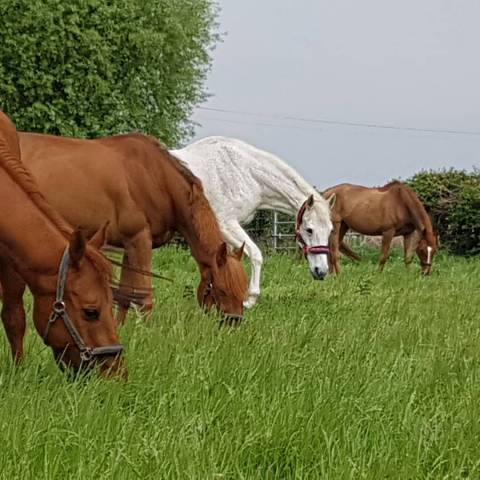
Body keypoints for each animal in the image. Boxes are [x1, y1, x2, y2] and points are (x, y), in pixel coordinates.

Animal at [18, 133, 248, 324]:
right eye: (222, 290)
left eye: (243, 291)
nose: (233, 324)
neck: (155, 178)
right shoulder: (140, 240)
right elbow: (145, 296)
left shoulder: (130, 244)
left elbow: (126, 295)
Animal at [172, 136, 334, 308]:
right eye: (309, 229)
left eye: (330, 231)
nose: (321, 271)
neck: (245, 173)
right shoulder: (226, 224)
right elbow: (256, 254)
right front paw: (249, 299)